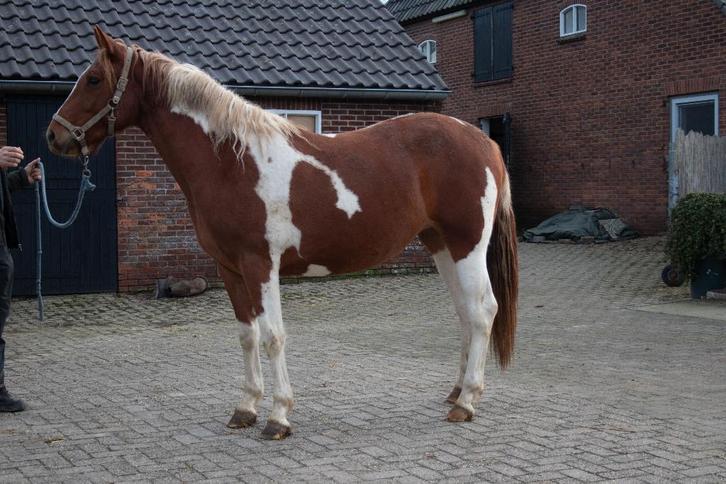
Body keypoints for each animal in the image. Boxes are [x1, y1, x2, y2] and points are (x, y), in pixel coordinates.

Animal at [46, 27, 518, 440]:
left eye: (92, 79)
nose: (53, 135)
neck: (230, 161)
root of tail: (484, 143)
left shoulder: (260, 264)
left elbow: (273, 336)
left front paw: (278, 417)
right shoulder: (229, 269)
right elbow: (247, 335)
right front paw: (245, 409)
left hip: (467, 245)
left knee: (483, 311)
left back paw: (467, 402)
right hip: (441, 246)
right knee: (465, 313)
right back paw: (455, 392)